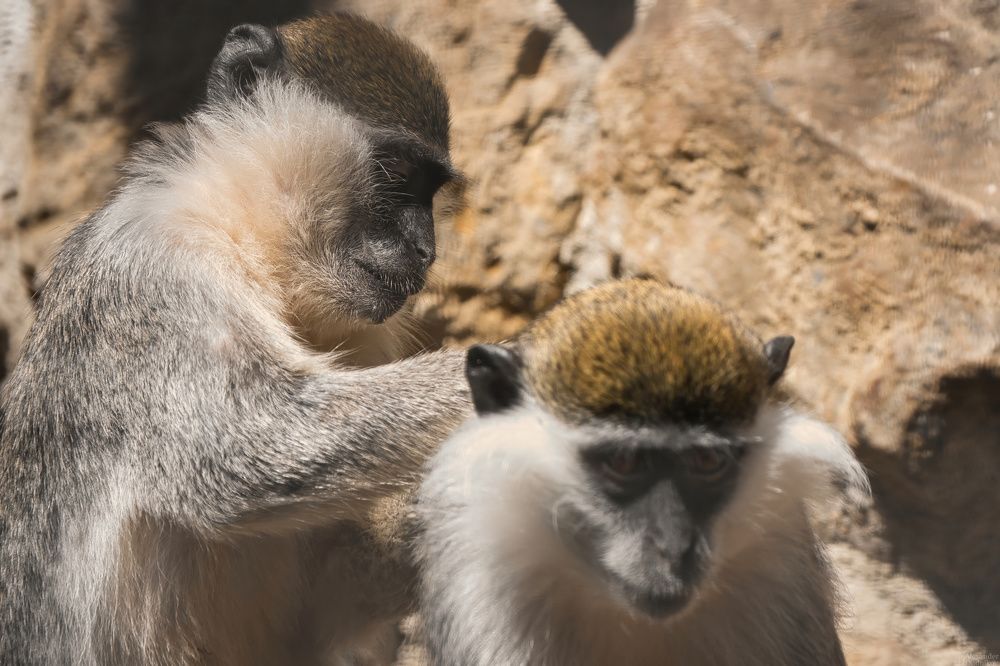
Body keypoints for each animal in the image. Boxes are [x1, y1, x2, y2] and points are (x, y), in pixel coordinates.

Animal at [0, 14, 473, 665]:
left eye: (433, 190)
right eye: (398, 173)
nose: (427, 250)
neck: (248, 238)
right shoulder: (154, 274)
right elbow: (238, 448)